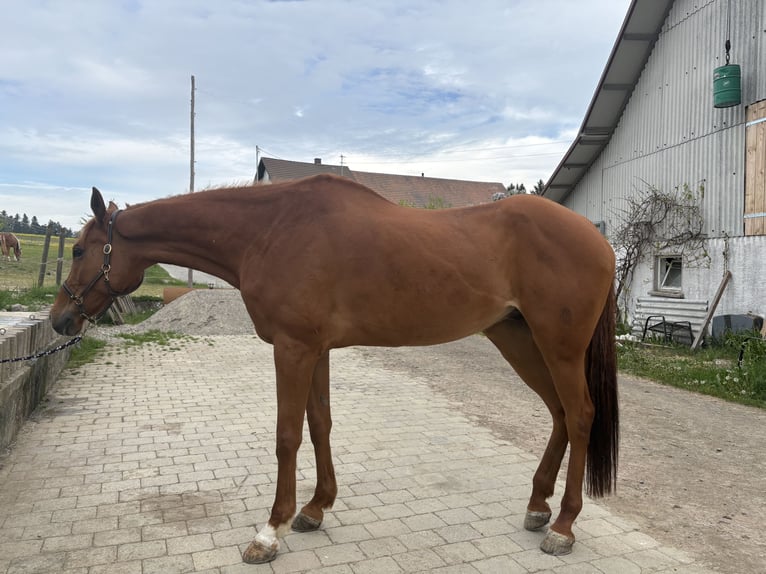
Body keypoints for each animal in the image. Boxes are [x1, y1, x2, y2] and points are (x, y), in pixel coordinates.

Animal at [50, 174, 618, 564]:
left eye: (77, 249)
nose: (59, 320)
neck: (271, 231)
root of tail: (600, 241)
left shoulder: (292, 348)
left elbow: (287, 435)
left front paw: (269, 531)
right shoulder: (315, 349)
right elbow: (319, 424)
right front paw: (315, 509)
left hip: (559, 347)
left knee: (580, 415)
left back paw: (563, 526)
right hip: (518, 339)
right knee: (559, 414)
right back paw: (539, 506)